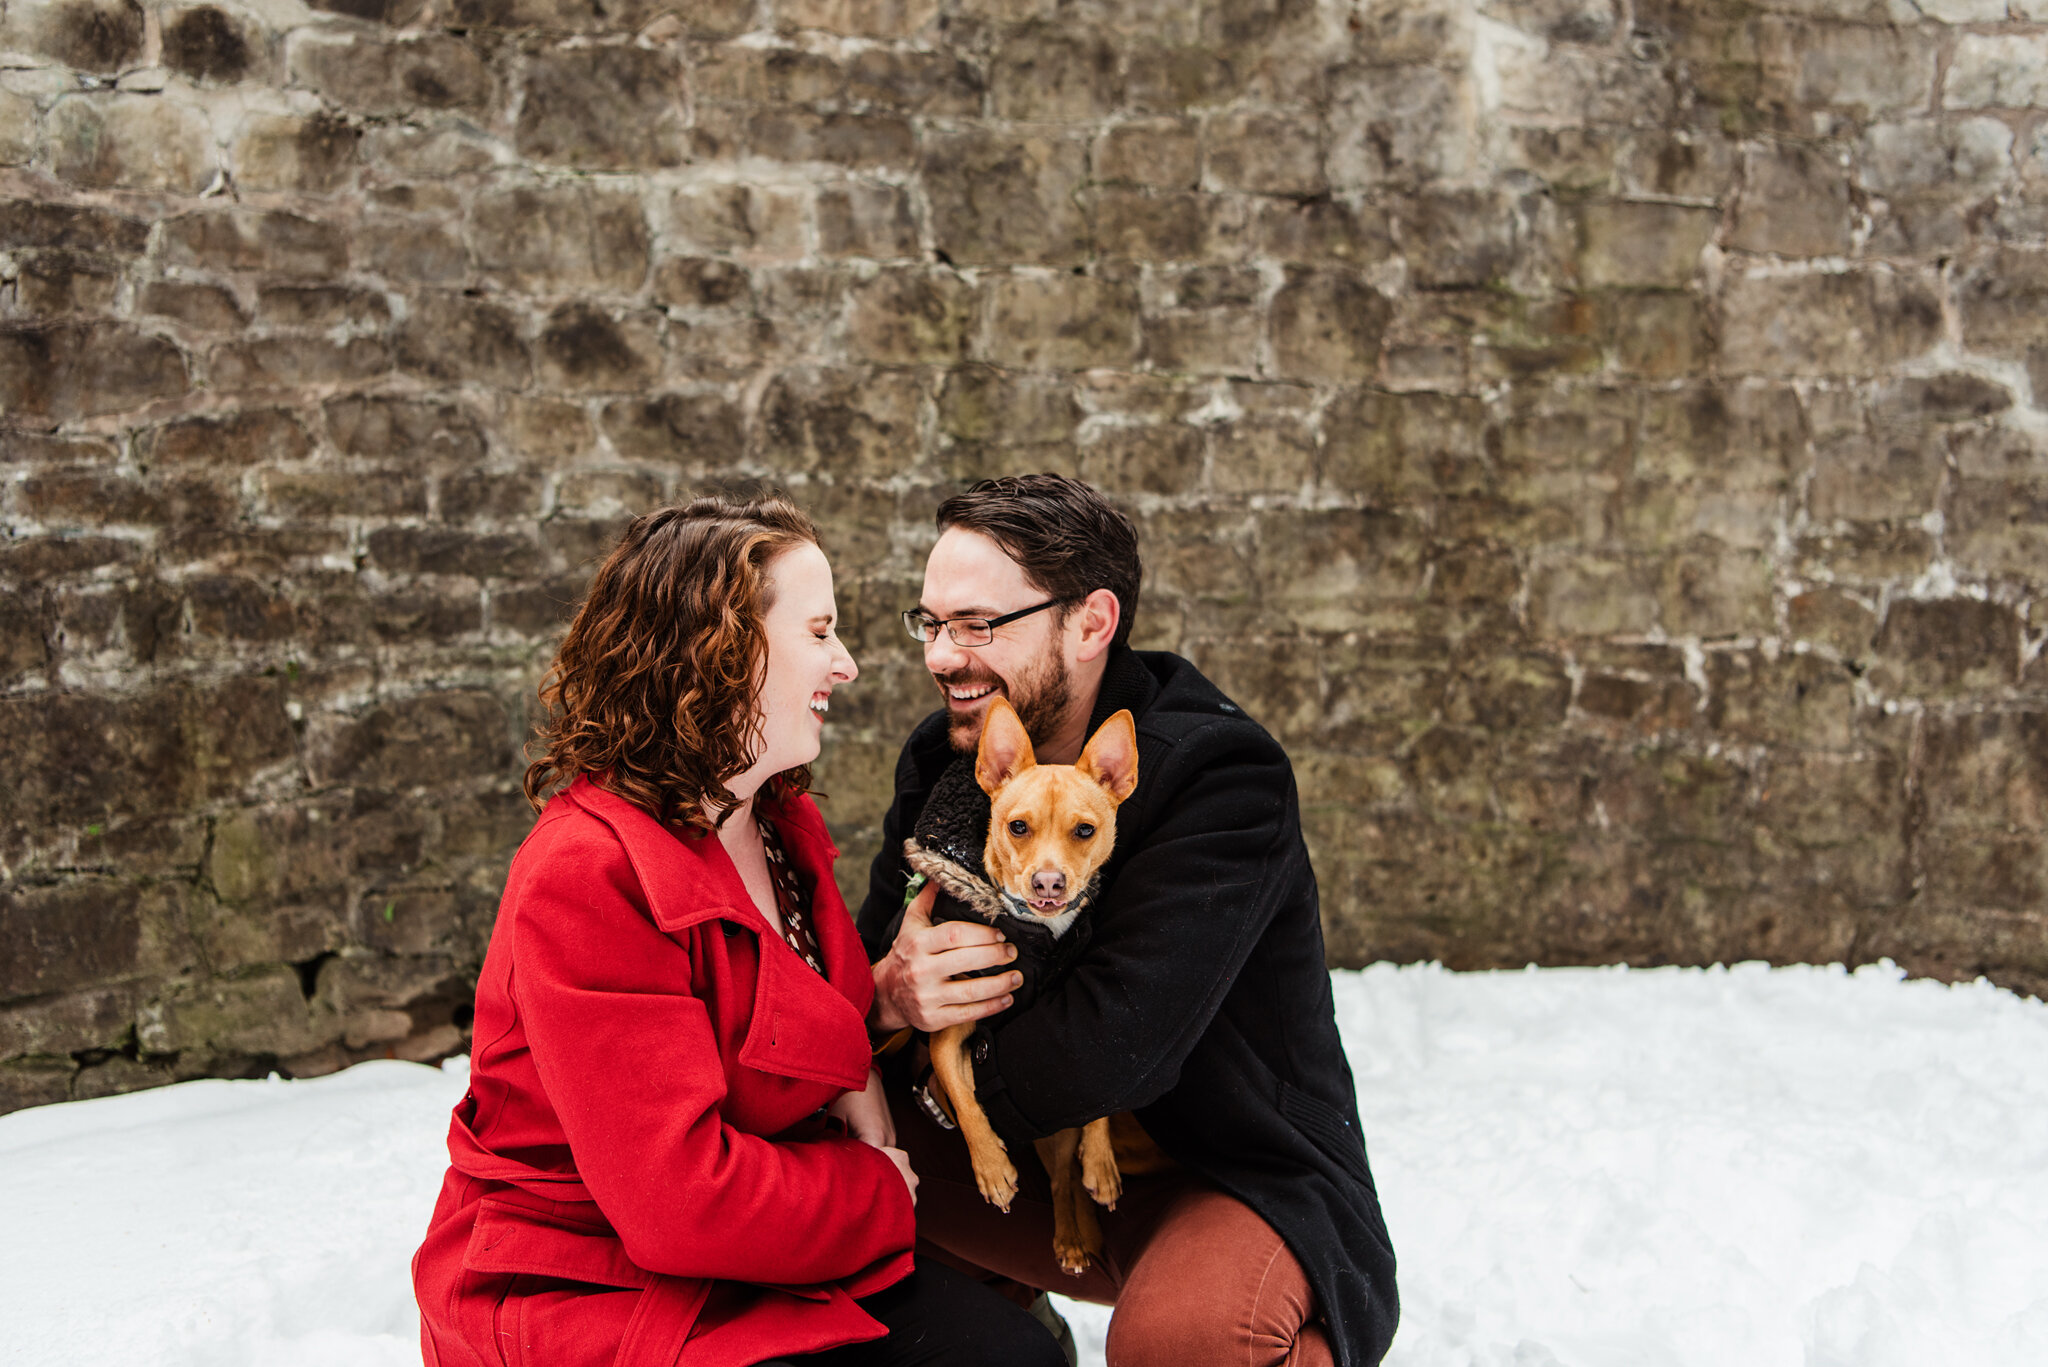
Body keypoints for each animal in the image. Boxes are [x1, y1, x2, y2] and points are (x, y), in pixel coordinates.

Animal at [905, 700, 1146, 1278]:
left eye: (1085, 831)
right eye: (1017, 827)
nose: (1049, 883)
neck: (1039, 935)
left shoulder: (1090, 1037)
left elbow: (1100, 1095)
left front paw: (1100, 1159)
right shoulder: (949, 1032)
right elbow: (966, 1102)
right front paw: (992, 1167)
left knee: (1064, 1178)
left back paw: (1076, 1233)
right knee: (1057, 1179)